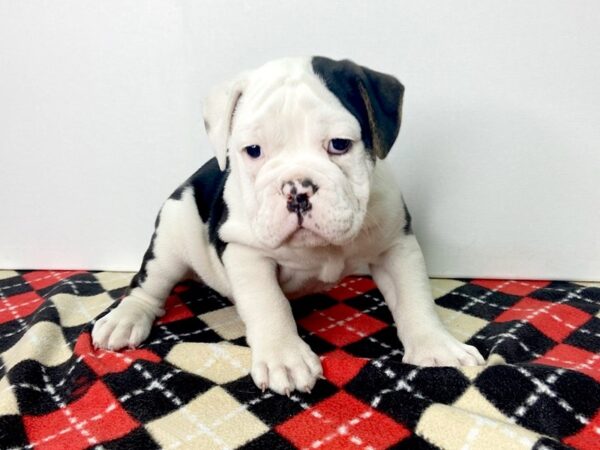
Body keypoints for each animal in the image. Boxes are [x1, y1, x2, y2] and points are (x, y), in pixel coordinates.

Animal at [91, 56, 486, 394]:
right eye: (253, 150)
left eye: (339, 144)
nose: (297, 188)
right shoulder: (246, 253)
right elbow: (269, 304)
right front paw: (285, 357)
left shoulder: (396, 245)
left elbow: (414, 297)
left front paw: (436, 348)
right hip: (171, 239)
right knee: (148, 285)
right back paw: (125, 318)